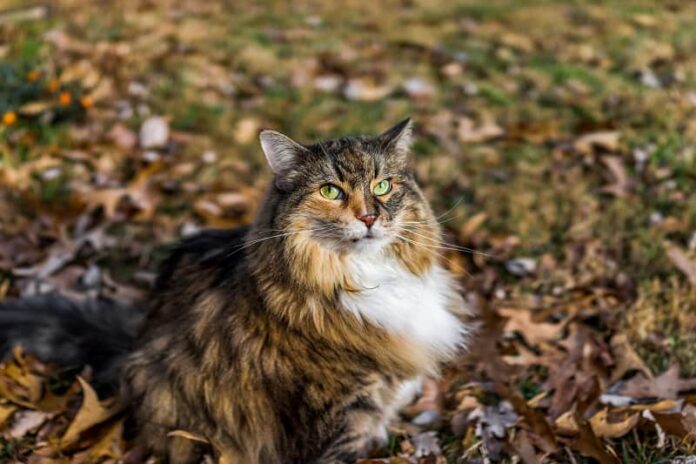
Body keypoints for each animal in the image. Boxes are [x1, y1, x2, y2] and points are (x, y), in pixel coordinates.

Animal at [0, 119, 470, 464]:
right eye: (330, 191)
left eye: (382, 186)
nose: (370, 216)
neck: (360, 276)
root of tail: (133, 342)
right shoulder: (339, 424)